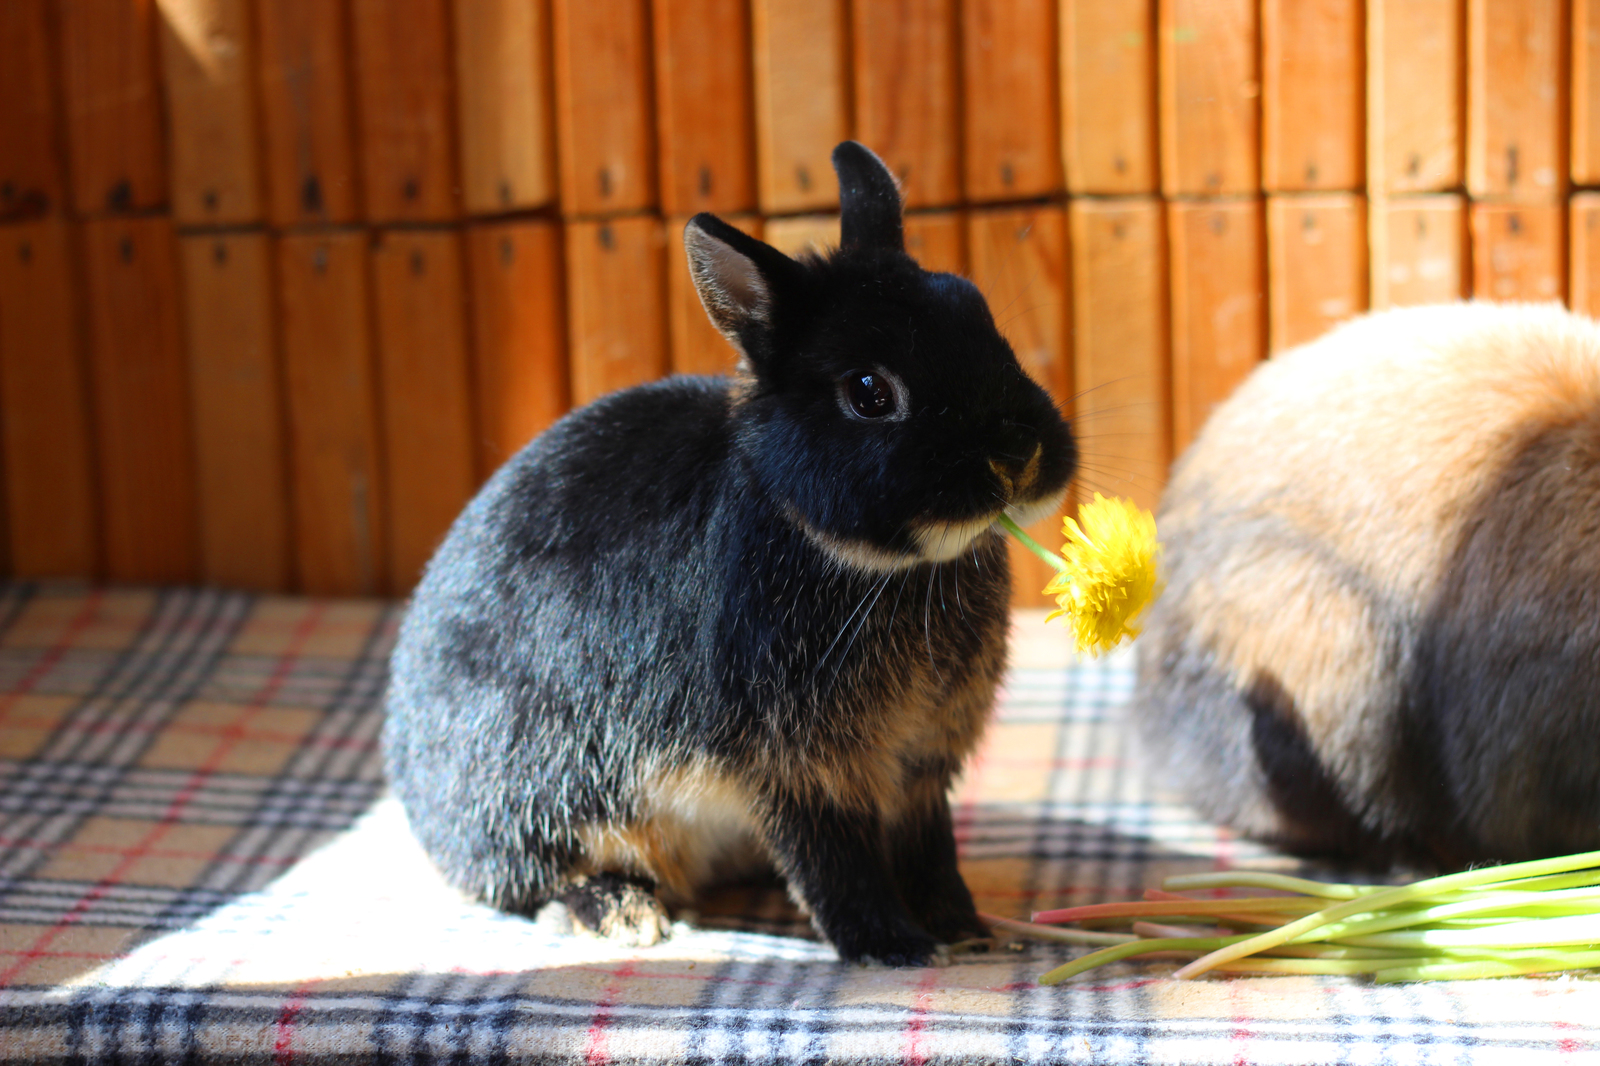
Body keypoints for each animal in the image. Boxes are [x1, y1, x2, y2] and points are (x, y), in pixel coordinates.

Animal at [384, 140, 1075, 960]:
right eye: (869, 392)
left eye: (978, 312)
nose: (1019, 456)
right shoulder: (800, 771)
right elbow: (834, 859)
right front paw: (891, 946)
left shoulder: (919, 767)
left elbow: (929, 850)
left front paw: (966, 931)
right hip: (544, 790)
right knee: (535, 882)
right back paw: (622, 913)